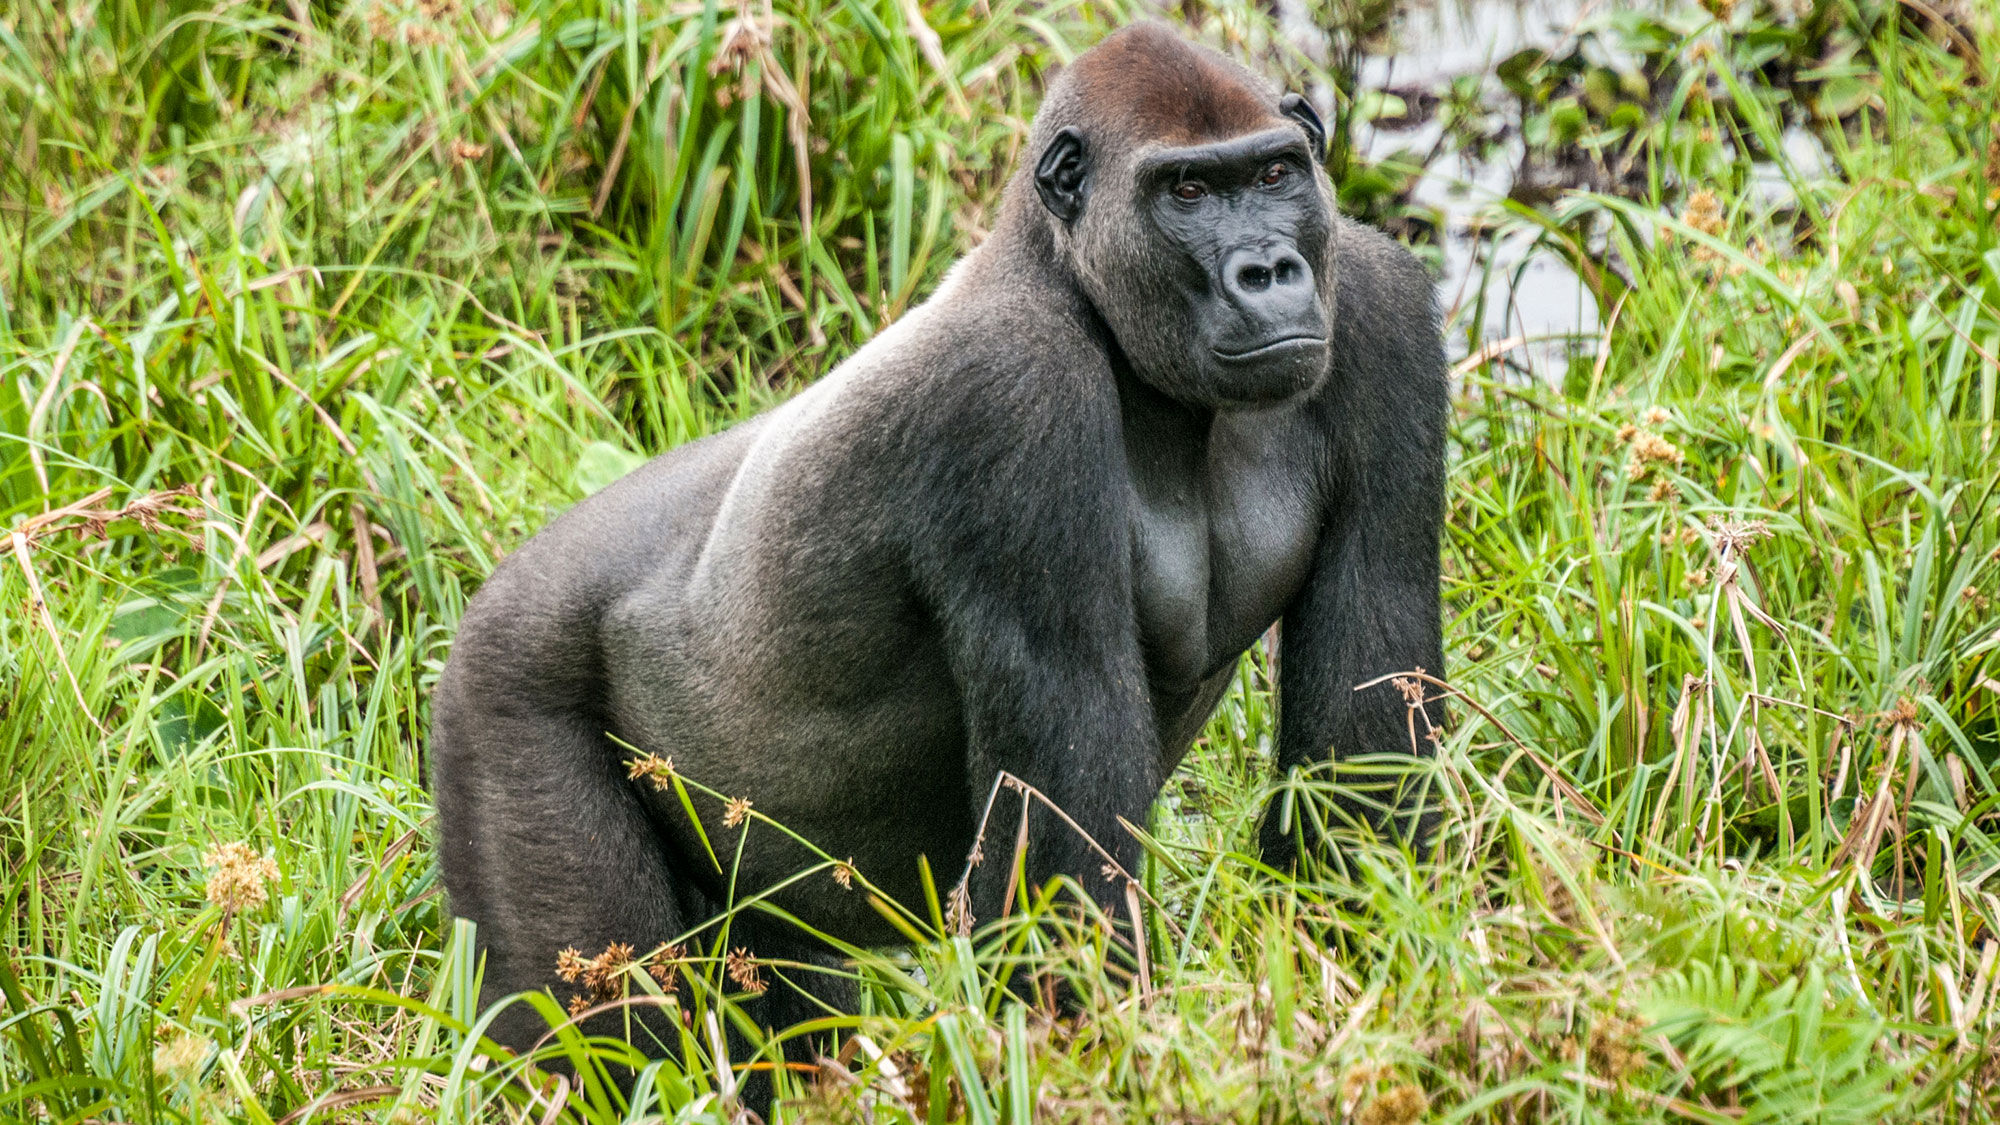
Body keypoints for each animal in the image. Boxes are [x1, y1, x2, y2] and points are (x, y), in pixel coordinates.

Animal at [430, 19, 1446, 1105]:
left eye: (1273, 174)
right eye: (1186, 192)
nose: (1268, 271)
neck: (1064, 278)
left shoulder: (1376, 307)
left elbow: (1365, 763)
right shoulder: (1008, 398)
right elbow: (1060, 883)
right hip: (500, 689)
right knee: (603, 1040)